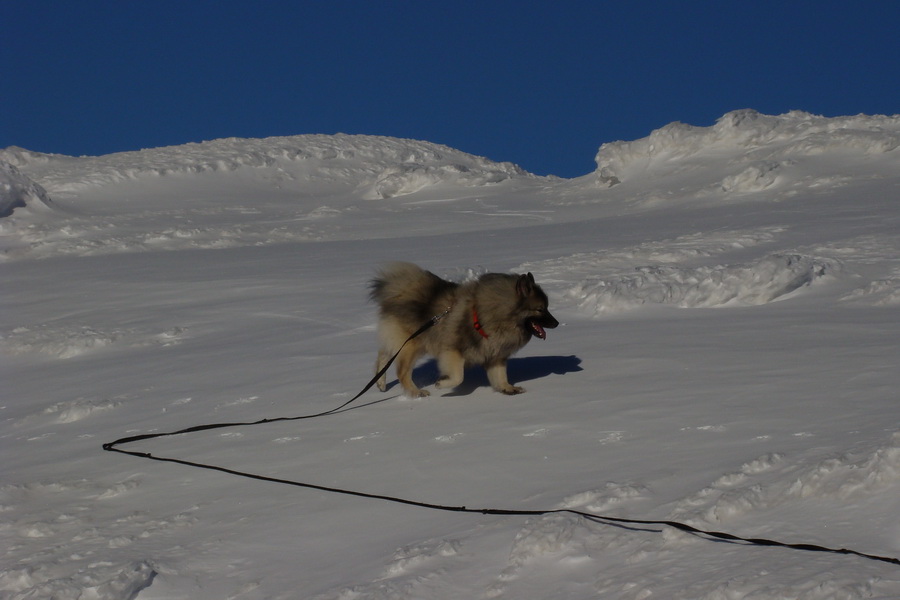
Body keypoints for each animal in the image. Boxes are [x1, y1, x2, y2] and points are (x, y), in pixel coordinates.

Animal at [368, 262, 556, 396]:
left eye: (547, 307)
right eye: (540, 309)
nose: (556, 323)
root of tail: (399, 290)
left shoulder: (495, 355)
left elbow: (500, 375)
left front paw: (507, 388)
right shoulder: (453, 351)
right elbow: (459, 376)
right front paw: (441, 383)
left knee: (383, 355)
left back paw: (380, 382)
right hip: (412, 344)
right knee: (401, 371)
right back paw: (416, 392)